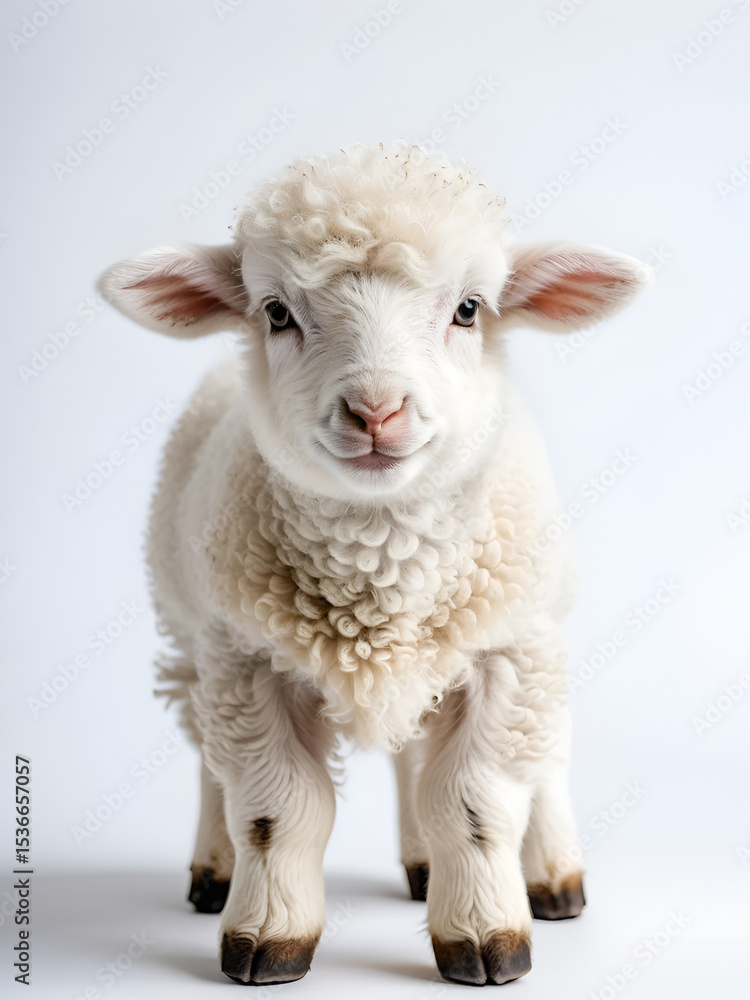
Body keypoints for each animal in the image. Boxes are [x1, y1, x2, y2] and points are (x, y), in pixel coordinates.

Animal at [99, 143, 653, 987]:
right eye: (277, 312)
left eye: (469, 309)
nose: (376, 410)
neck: (381, 563)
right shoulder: (246, 662)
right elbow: (276, 807)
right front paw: (267, 937)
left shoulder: (506, 652)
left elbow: (474, 802)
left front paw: (488, 937)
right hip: (195, 636)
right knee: (214, 763)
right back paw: (217, 871)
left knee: (522, 761)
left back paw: (548, 877)